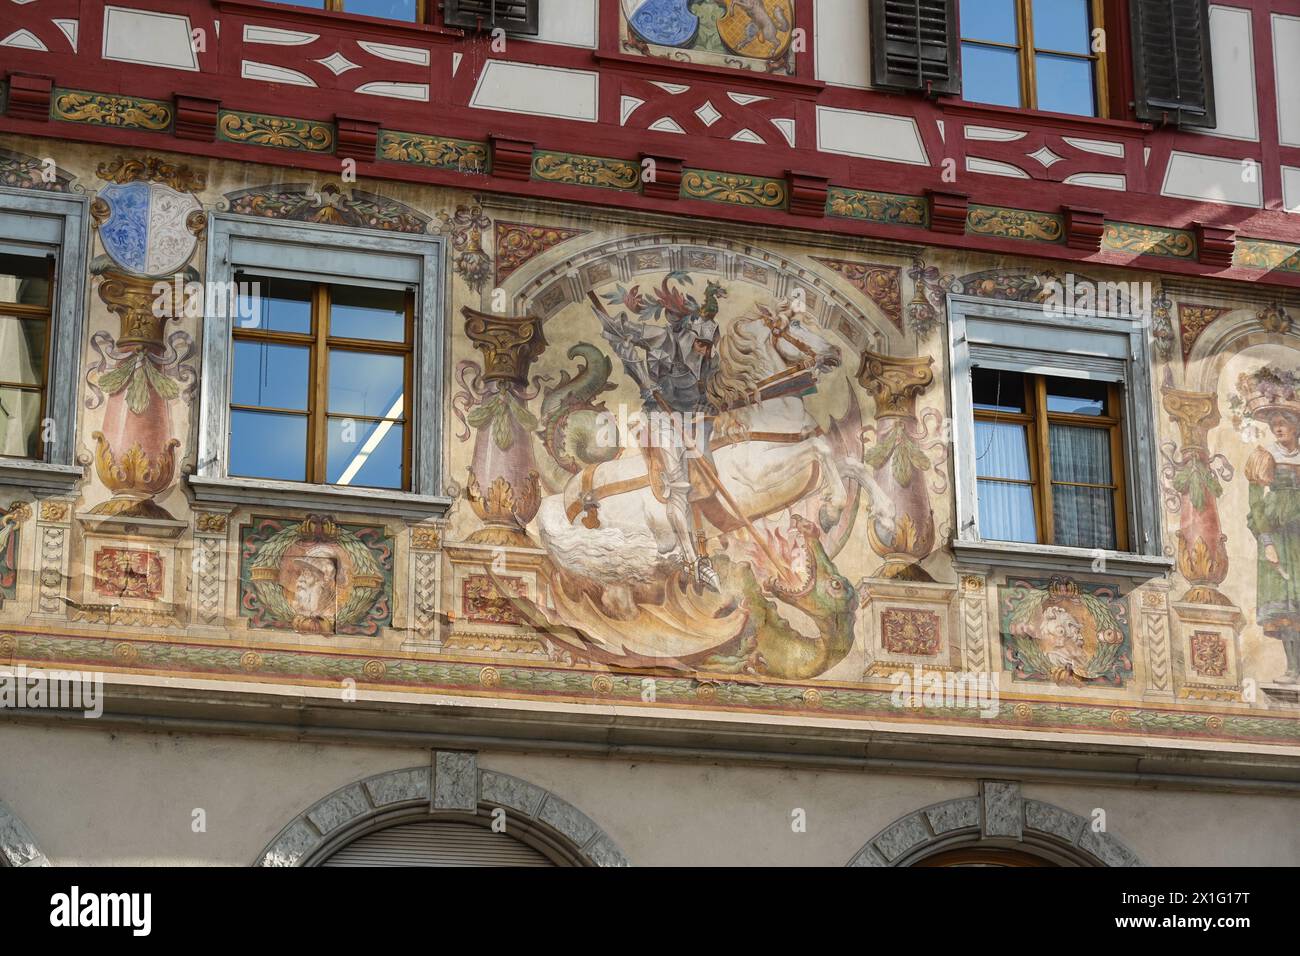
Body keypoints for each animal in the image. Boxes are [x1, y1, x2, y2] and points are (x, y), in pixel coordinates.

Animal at [533, 308, 889, 621]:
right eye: (797, 324)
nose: (834, 353)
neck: (762, 415)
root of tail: (567, 494)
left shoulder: (807, 475)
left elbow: (852, 465)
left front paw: (884, 518)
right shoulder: (760, 478)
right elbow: (821, 449)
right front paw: (831, 511)